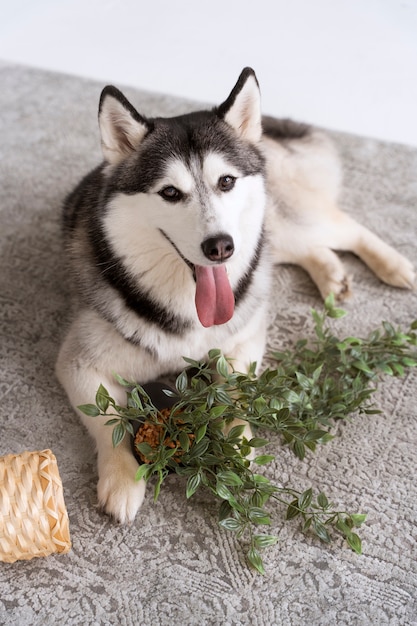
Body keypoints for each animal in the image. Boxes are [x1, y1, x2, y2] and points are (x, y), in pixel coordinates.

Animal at [55, 67, 412, 520]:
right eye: (170, 192)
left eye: (225, 181)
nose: (220, 247)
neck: (187, 307)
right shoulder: (80, 363)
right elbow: (109, 421)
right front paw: (121, 480)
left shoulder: (245, 341)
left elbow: (236, 395)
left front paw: (238, 446)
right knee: (309, 248)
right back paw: (332, 276)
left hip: (279, 221)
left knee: (346, 228)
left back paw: (395, 267)